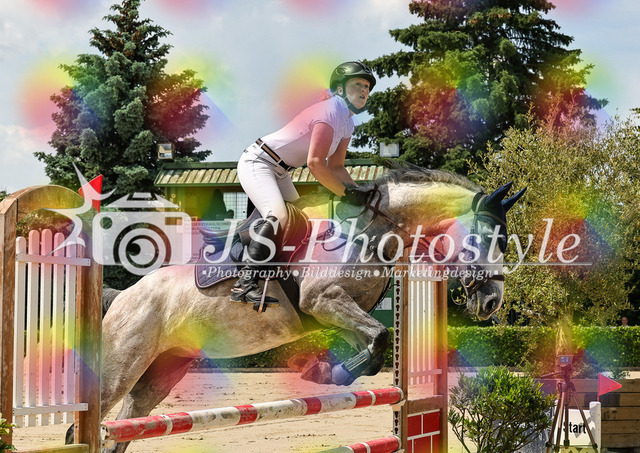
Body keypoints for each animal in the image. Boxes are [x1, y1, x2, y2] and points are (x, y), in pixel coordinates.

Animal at [69, 167, 525, 452]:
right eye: (488, 238)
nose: (492, 302)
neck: (371, 232)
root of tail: (122, 297)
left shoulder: (338, 312)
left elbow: (375, 347)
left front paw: (326, 371)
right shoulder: (323, 301)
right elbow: (380, 337)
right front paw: (326, 373)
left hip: (161, 370)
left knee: (123, 429)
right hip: (121, 364)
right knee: (91, 422)